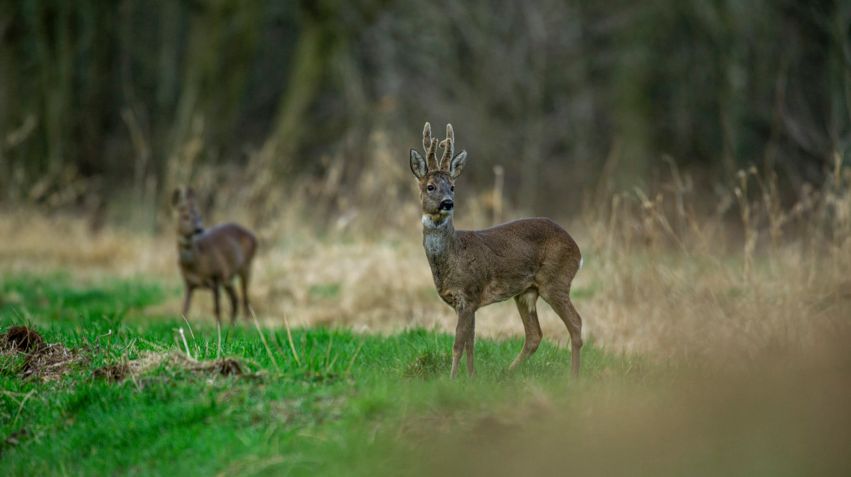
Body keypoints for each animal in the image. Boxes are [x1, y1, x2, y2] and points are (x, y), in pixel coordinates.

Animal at [170, 188, 256, 326]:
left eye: (199, 216)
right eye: (185, 216)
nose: (199, 229)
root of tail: (254, 237)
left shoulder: (215, 277)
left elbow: (216, 309)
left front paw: (218, 327)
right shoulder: (188, 283)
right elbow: (185, 309)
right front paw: (181, 327)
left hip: (246, 266)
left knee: (245, 299)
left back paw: (246, 325)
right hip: (228, 278)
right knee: (235, 299)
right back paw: (232, 326)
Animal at [408, 124, 584, 378]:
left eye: (452, 186)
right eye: (430, 186)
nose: (448, 202)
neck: (452, 256)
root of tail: (577, 250)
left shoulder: (468, 294)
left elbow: (458, 344)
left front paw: (452, 379)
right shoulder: (467, 302)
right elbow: (470, 343)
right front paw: (471, 377)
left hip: (556, 280)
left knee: (576, 323)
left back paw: (574, 378)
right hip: (526, 292)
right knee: (535, 334)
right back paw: (507, 372)